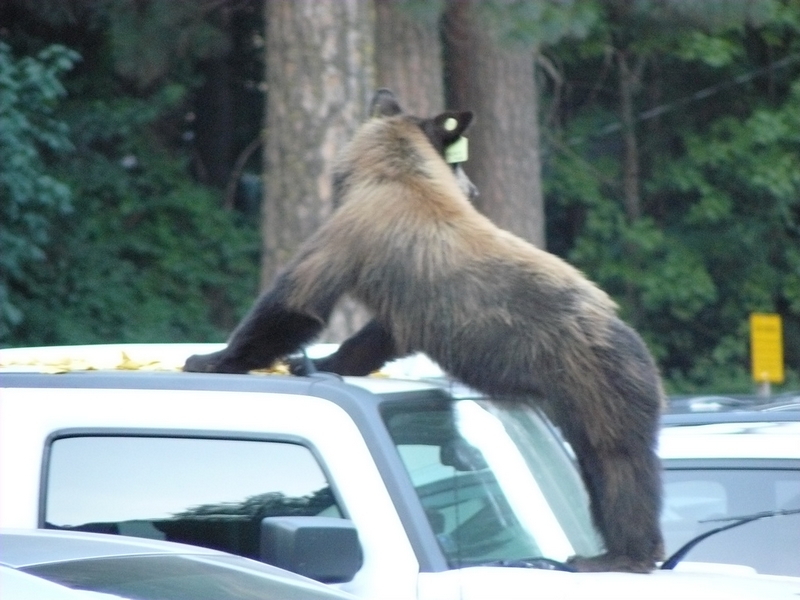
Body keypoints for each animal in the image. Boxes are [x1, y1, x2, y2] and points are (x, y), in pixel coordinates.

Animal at [184, 88, 664, 572]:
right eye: (460, 165)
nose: (475, 190)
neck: (396, 174)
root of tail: (636, 344)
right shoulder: (407, 302)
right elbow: (379, 335)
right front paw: (321, 361)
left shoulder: (349, 233)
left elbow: (297, 302)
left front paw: (211, 359)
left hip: (595, 383)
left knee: (616, 460)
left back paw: (621, 555)